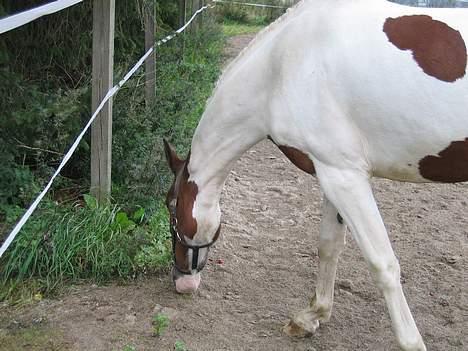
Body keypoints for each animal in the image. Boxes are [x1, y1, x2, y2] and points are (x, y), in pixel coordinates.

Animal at [163, 1, 466, 350]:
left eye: (171, 208)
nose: (180, 280)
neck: (284, 64)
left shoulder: (345, 177)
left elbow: (383, 264)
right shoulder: (332, 172)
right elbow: (328, 245)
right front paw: (311, 317)